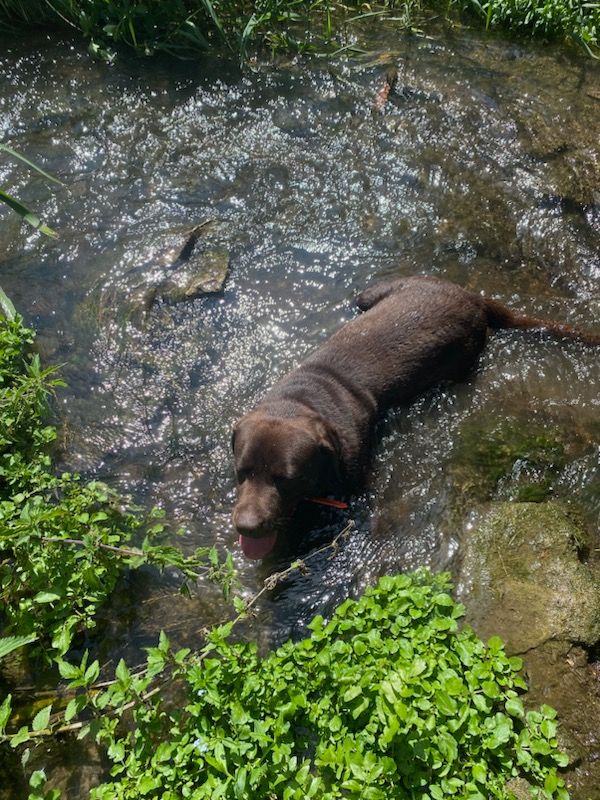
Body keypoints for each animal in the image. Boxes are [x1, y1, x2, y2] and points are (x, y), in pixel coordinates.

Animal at [232, 276, 596, 556]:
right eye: (241, 472)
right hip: (374, 294)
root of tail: (470, 296)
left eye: (287, 478)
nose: (246, 526)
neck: (303, 400)